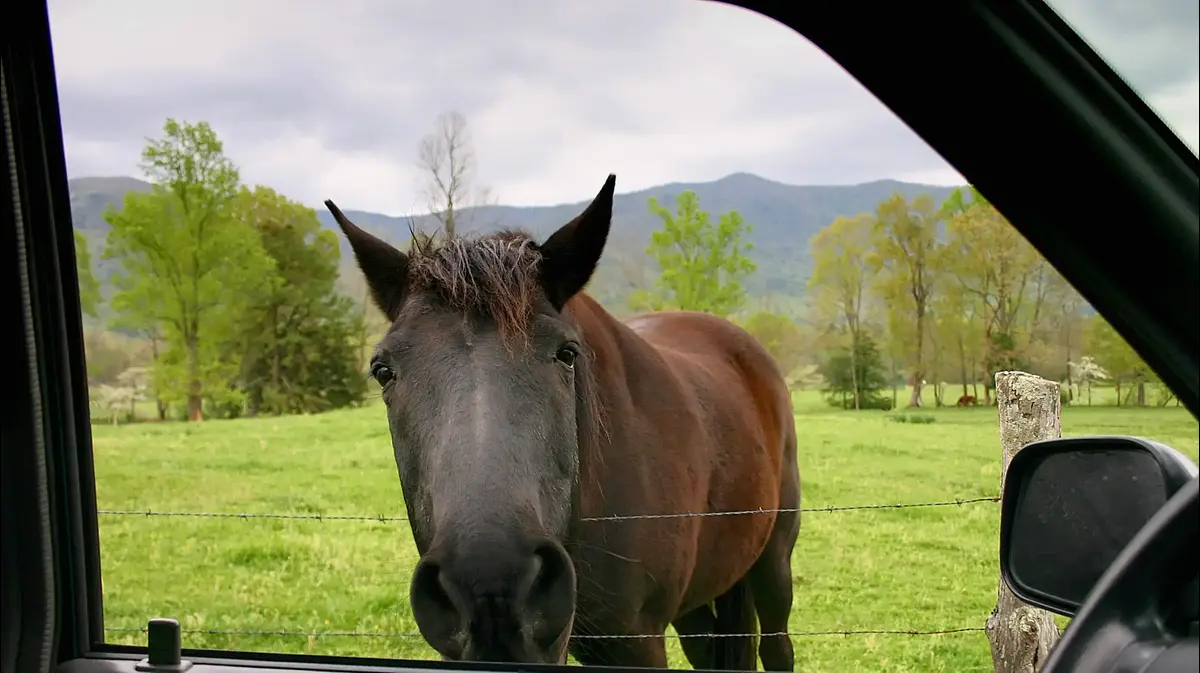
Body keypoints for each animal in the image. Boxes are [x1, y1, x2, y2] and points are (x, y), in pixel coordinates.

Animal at [324, 176, 801, 667]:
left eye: (567, 353)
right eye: (383, 371)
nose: (489, 585)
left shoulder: (635, 641)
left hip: (774, 562)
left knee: (777, 646)